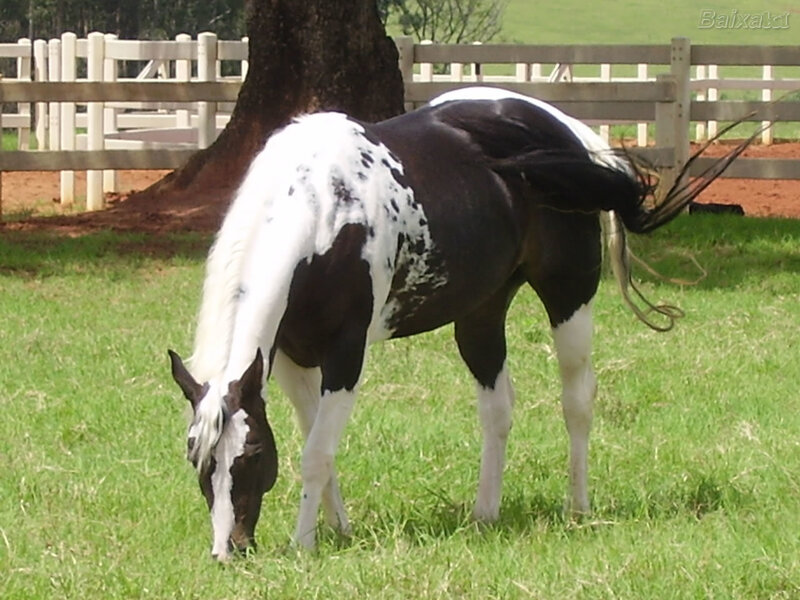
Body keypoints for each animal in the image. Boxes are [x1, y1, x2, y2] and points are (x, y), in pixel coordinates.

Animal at [168, 86, 757, 560]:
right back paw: (485, 514)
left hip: (569, 298)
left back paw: (578, 507)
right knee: (498, 410)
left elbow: (315, 453)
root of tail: (572, 134)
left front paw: (304, 543)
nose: (228, 551)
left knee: (577, 401)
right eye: (199, 460)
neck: (325, 213)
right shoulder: (290, 358)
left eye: (251, 456)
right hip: (480, 315)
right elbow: (319, 443)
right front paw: (338, 529)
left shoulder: (345, 355)